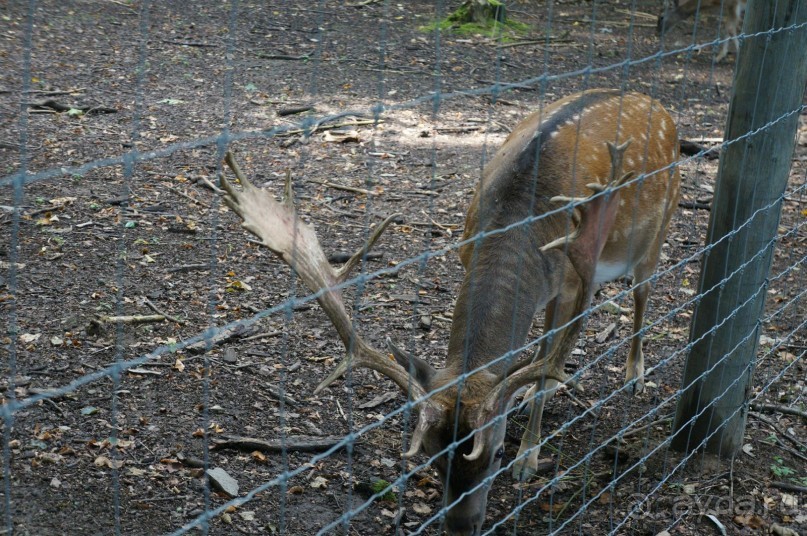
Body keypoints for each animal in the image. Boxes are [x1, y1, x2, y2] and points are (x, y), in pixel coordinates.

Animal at [221, 90, 680, 536]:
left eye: (498, 453)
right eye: (431, 454)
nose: (462, 526)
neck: (522, 216)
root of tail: (659, 107)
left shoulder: (568, 284)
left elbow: (547, 361)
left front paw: (529, 459)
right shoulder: (469, 253)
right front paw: (532, 399)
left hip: (656, 232)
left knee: (642, 294)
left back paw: (634, 374)